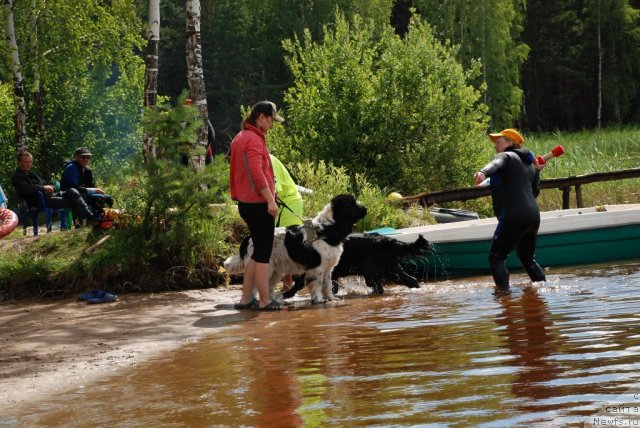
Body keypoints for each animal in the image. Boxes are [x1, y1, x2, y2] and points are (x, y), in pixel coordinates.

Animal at [225, 194, 368, 304]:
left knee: (268, 287)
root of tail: (248, 238)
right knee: (255, 286)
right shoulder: (317, 267)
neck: (327, 227)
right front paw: (319, 300)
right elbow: (318, 284)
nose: (366, 208)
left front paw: (331, 299)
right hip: (265, 266)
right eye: (353, 205)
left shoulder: (328, 268)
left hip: (276, 270)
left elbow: (327, 285)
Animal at [284, 231, 430, 298]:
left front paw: (286, 294)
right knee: (411, 280)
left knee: (379, 288)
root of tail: (389, 240)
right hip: (391, 270)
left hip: (370, 269)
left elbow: (298, 284)